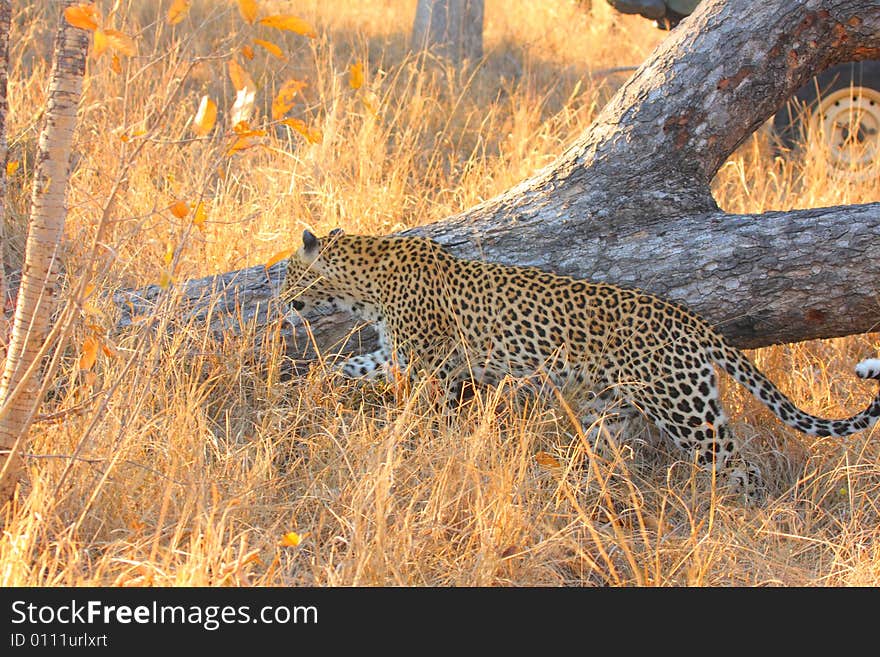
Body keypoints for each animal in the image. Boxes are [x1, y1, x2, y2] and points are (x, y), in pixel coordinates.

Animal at [282, 228, 880, 500]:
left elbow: (427, 414)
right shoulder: (397, 355)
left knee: (739, 465)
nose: (284, 303)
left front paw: (419, 445)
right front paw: (316, 390)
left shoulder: (435, 366)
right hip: (609, 408)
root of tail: (696, 323)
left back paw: (745, 518)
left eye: (289, 275)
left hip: (684, 408)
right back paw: (578, 493)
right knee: (604, 454)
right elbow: (352, 366)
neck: (364, 284)